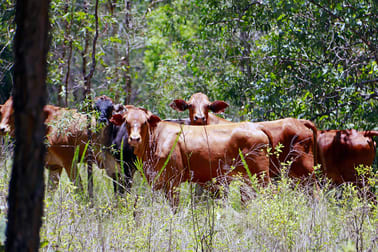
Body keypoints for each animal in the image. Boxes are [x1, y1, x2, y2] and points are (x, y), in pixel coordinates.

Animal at [109, 105, 272, 206]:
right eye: (127, 122)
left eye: (144, 122)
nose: (134, 139)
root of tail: (256, 126)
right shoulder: (156, 182)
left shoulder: (173, 181)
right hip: (248, 178)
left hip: (261, 175)